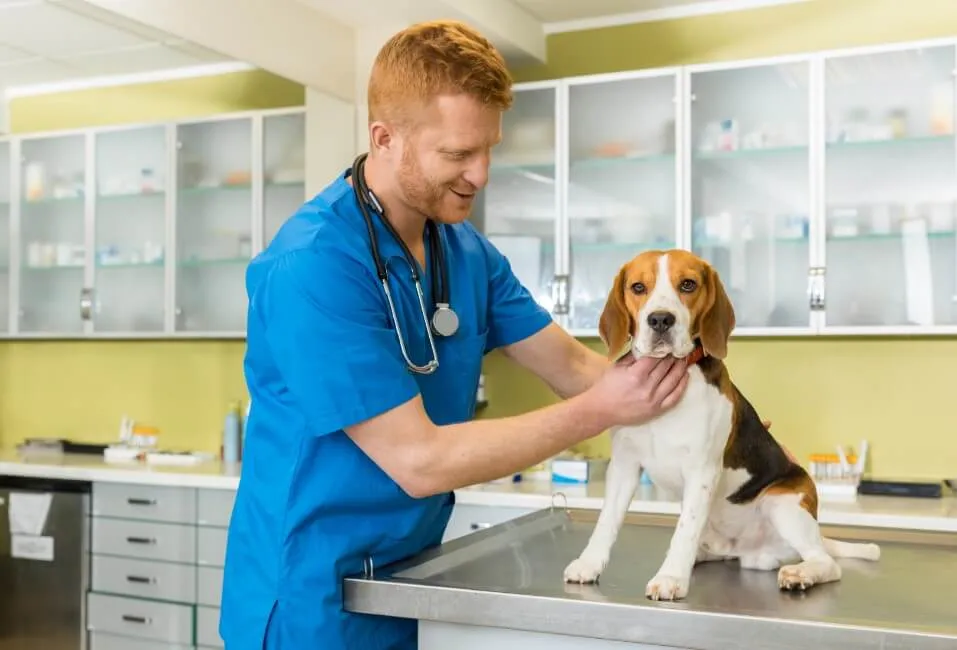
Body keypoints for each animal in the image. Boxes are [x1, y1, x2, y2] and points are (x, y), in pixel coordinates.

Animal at [560, 247, 880, 596]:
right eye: (638, 287)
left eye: (688, 285)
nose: (660, 319)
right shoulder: (624, 466)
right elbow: (607, 522)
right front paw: (589, 564)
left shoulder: (701, 470)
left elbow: (685, 529)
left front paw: (670, 578)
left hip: (782, 504)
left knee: (827, 562)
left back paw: (800, 573)